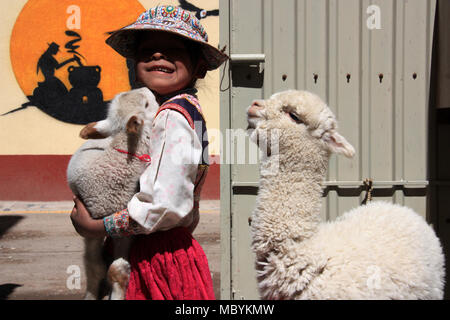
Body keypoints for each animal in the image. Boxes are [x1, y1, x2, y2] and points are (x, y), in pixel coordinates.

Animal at [67, 87, 158, 300]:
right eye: (146, 104)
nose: (147, 88)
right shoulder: (93, 220)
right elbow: (94, 266)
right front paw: (91, 296)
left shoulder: (123, 228)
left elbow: (115, 269)